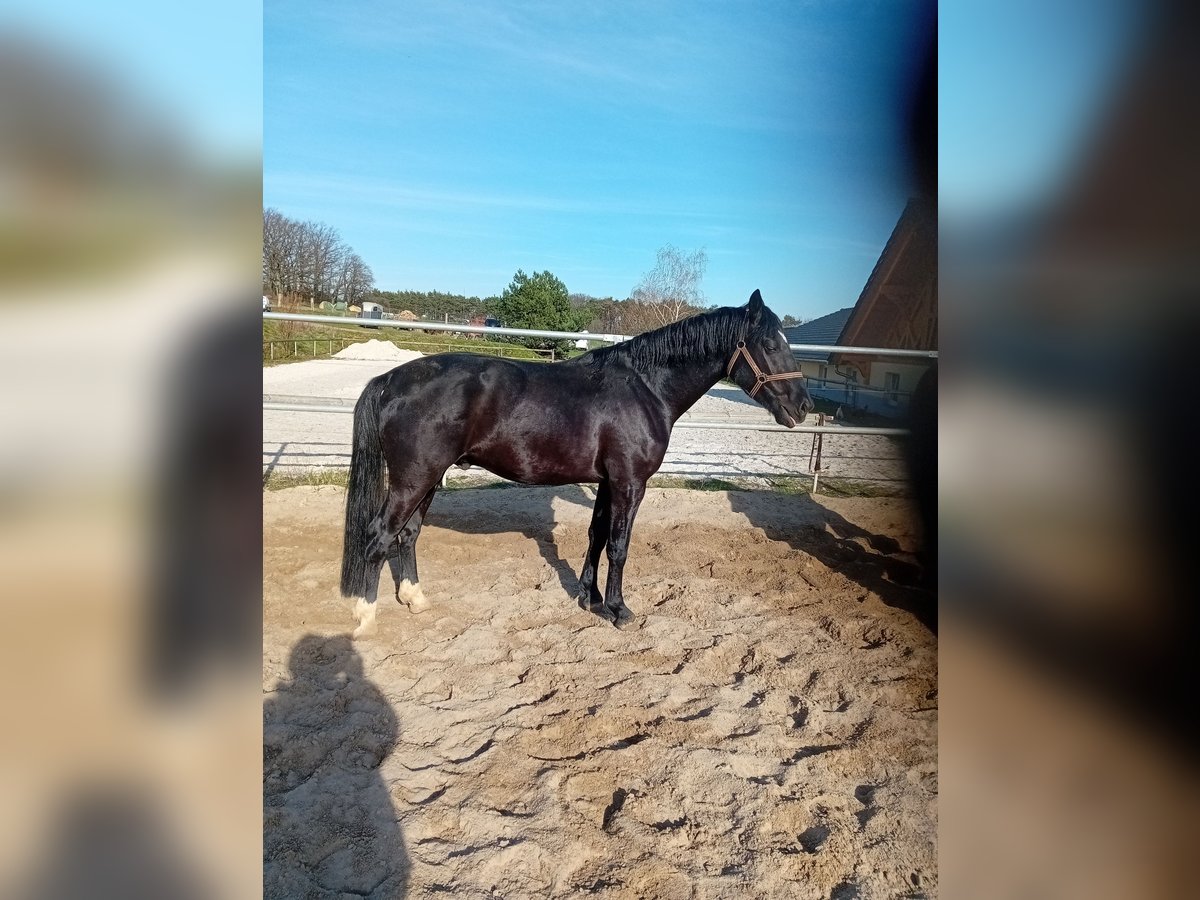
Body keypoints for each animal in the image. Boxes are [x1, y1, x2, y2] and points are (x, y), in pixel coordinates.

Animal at [338, 289, 811, 633]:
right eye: (770, 343)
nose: (804, 406)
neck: (645, 387)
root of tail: (390, 379)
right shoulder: (629, 483)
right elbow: (619, 546)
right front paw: (618, 609)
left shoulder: (606, 481)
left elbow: (596, 536)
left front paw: (590, 597)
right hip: (412, 480)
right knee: (379, 536)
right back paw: (364, 617)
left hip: (427, 479)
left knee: (408, 535)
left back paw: (415, 599)